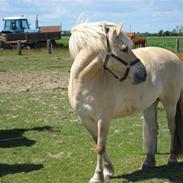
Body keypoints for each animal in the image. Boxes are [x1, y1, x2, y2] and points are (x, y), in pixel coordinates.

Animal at [68, 21, 183, 183]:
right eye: (124, 48)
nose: (143, 73)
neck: (86, 81)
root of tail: (174, 57)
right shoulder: (85, 119)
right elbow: (97, 142)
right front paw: (108, 170)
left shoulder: (104, 118)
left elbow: (100, 146)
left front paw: (98, 175)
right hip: (150, 104)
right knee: (153, 128)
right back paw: (148, 161)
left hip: (170, 103)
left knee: (172, 128)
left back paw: (172, 158)